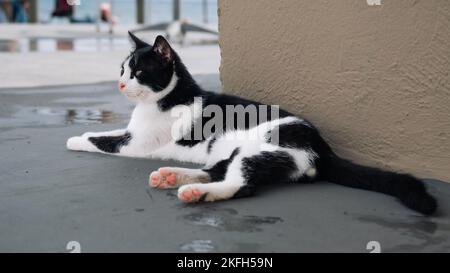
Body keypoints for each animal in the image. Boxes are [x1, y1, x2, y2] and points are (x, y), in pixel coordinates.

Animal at [67, 32, 436, 215]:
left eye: (139, 72)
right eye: (122, 70)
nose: (120, 84)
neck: (165, 99)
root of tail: (323, 146)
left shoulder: (135, 143)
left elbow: (102, 139)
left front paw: (75, 138)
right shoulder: (132, 135)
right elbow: (111, 132)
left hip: (259, 149)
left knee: (240, 184)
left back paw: (193, 192)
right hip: (233, 151)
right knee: (217, 169)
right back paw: (173, 175)